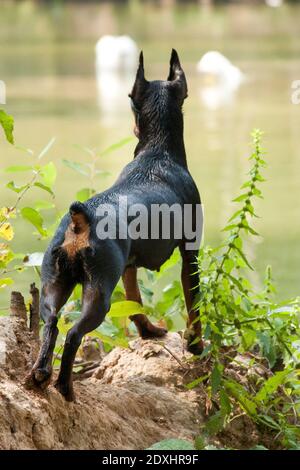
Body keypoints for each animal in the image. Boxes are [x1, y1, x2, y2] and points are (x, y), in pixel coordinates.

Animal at [30, 50, 203, 400]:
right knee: (73, 334)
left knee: (51, 323)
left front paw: (148, 332)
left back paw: (41, 374)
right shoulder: (190, 255)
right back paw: (65, 386)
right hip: (98, 293)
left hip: (55, 285)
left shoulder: (129, 266)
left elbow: (135, 302)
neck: (158, 151)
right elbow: (194, 305)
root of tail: (80, 218)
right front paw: (197, 345)